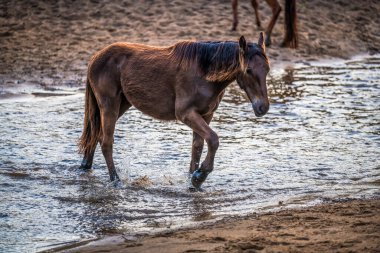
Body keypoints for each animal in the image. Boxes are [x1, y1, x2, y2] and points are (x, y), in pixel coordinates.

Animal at [78, 32, 270, 189]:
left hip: (121, 105)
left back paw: (85, 167)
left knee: (96, 136)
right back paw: (116, 180)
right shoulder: (186, 114)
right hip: (109, 106)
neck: (204, 73)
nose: (263, 107)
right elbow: (213, 140)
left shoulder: (205, 115)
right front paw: (200, 176)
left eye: (267, 69)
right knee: (106, 142)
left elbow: (198, 147)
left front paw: (193, 180)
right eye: (248, 70)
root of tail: (95, 57)